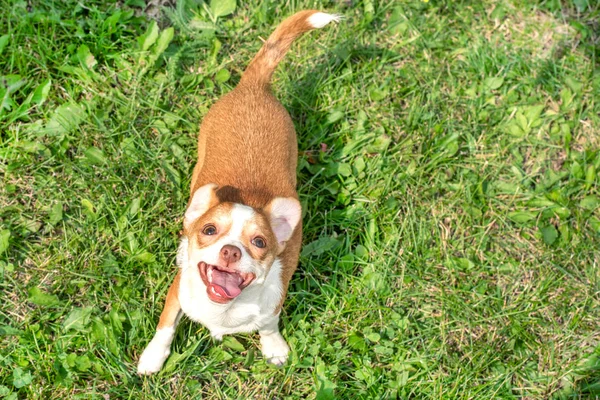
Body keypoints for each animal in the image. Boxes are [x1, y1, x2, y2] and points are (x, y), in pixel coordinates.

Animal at [138, 10, 340, 376]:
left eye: (259, 242)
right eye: (209, 230)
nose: (231, 251)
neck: (224, 310)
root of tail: (253, 87)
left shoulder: (274, 303)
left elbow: (269, 326)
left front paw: (274, 348)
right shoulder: (176, 294)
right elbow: (166, 325)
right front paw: (153, 356)